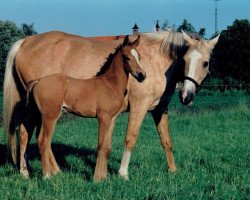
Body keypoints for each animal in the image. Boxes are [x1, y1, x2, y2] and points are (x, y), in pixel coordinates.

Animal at [22, 35, 146, 180]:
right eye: (127, 57)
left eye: (139, 57)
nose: (142, 75)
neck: (110, 84)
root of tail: (38, 81)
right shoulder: (103, 117)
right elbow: (101, 146)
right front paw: (97, 178)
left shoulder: (112, 119)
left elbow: (107, 148)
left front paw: (104, 177)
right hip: (50, 116)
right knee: (43, 141)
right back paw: (47, 176)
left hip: (40, 116)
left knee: (42, 140)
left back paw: (55, 173)